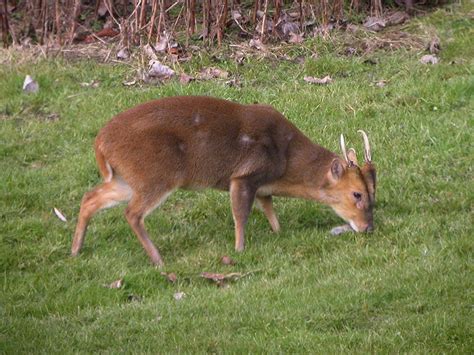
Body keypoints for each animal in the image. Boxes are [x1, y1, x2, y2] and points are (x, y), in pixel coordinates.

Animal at [70, 96, 376, 266]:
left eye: (374, 193)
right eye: (357, 194)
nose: (368, 227)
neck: (285, 160)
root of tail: (100, 143)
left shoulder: (263, 185)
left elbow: (269, 207)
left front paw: (278, 232)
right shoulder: (243, 175)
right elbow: (241, 214)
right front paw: (239, 250)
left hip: (126, 178)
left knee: (90, 197)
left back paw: (75, 250)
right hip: (155, 175)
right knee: (132, 213)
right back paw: (158, 259)